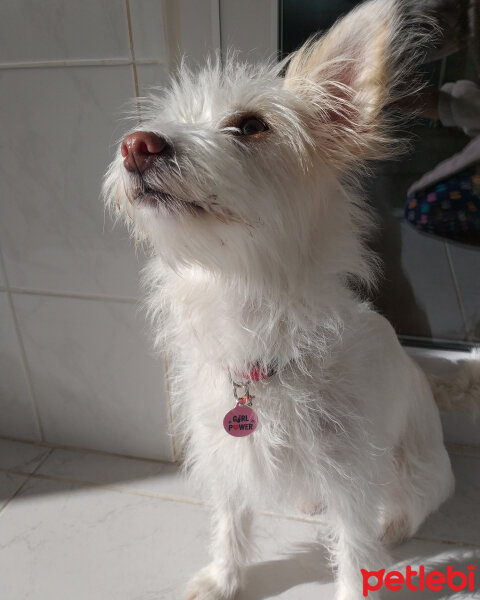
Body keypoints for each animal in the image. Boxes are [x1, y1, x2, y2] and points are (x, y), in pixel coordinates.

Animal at [103, 2, 478, 596]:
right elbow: (230, 522)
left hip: (414, 471)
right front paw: (223, 578)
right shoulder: (226, 457)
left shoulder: (352, 477)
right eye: (171, 119)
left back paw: (393, 529)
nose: (137, 144)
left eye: (252, 125)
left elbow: (354, 551)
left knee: (408, 507)